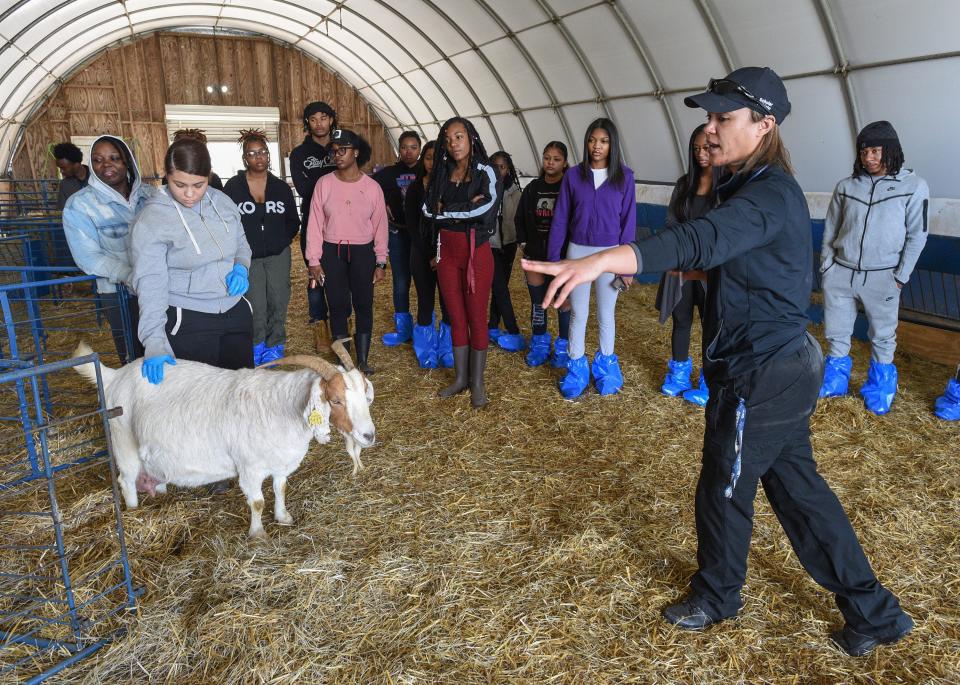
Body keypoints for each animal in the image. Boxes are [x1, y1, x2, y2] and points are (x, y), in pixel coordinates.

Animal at [73, 340, 376, 536]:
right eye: (335, 400)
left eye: (365, 394)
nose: (369, 435)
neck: (280, 406)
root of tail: (114, 376)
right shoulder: (250, 468)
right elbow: (257, 502)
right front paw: (258, 533)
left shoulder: (280, 463)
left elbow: (280, 489)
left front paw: (283, 518)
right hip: (123, 441)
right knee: (126, 480)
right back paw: (134, 511)